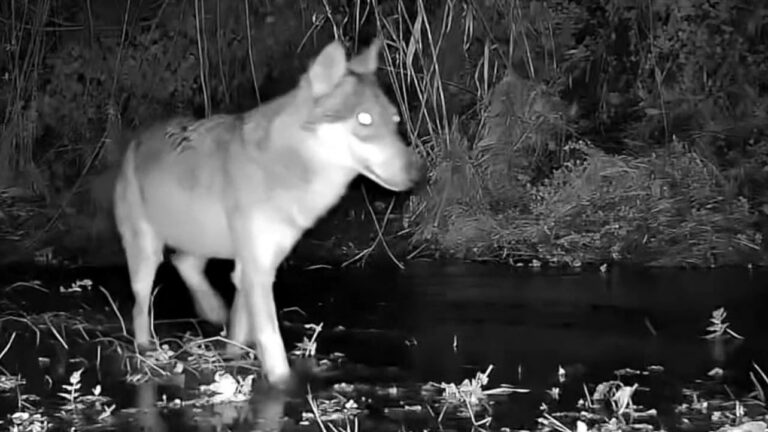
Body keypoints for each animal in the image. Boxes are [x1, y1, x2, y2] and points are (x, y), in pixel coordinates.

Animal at [113, 39, 423, 387]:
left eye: (395, 121)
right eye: (365, 119)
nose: (419, 173)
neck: (288, 166)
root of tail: (137, 140)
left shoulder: (257, 265)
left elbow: (241, 329)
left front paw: (233, 354)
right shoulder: (257, 270)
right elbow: (272, 346)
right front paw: (284, 387)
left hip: (205, 242)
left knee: (185, 263)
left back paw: (212, 310)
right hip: (148, 256)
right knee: (141, 309)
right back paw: (147, 348)